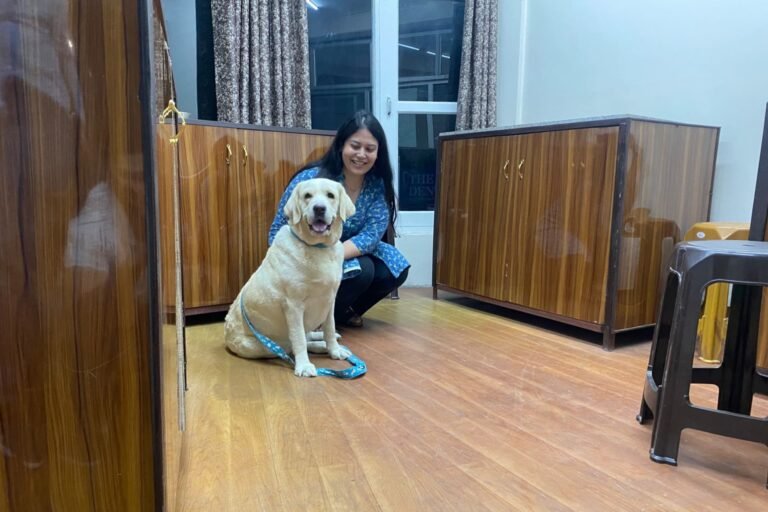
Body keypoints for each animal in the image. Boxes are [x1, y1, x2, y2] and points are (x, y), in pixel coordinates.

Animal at [222, 179, 354, 376]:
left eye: (330, 195)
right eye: (307, 196)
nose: (319, 208)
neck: (317, 247)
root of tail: (227, 336)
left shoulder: (330, 300)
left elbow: (329, 328)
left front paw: (335, 350)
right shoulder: (293, 305)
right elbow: (299, 338)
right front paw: (304, 366)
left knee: (310, 335)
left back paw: (325, 342)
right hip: (260, 345)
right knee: (293, 345)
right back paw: (317, 346)